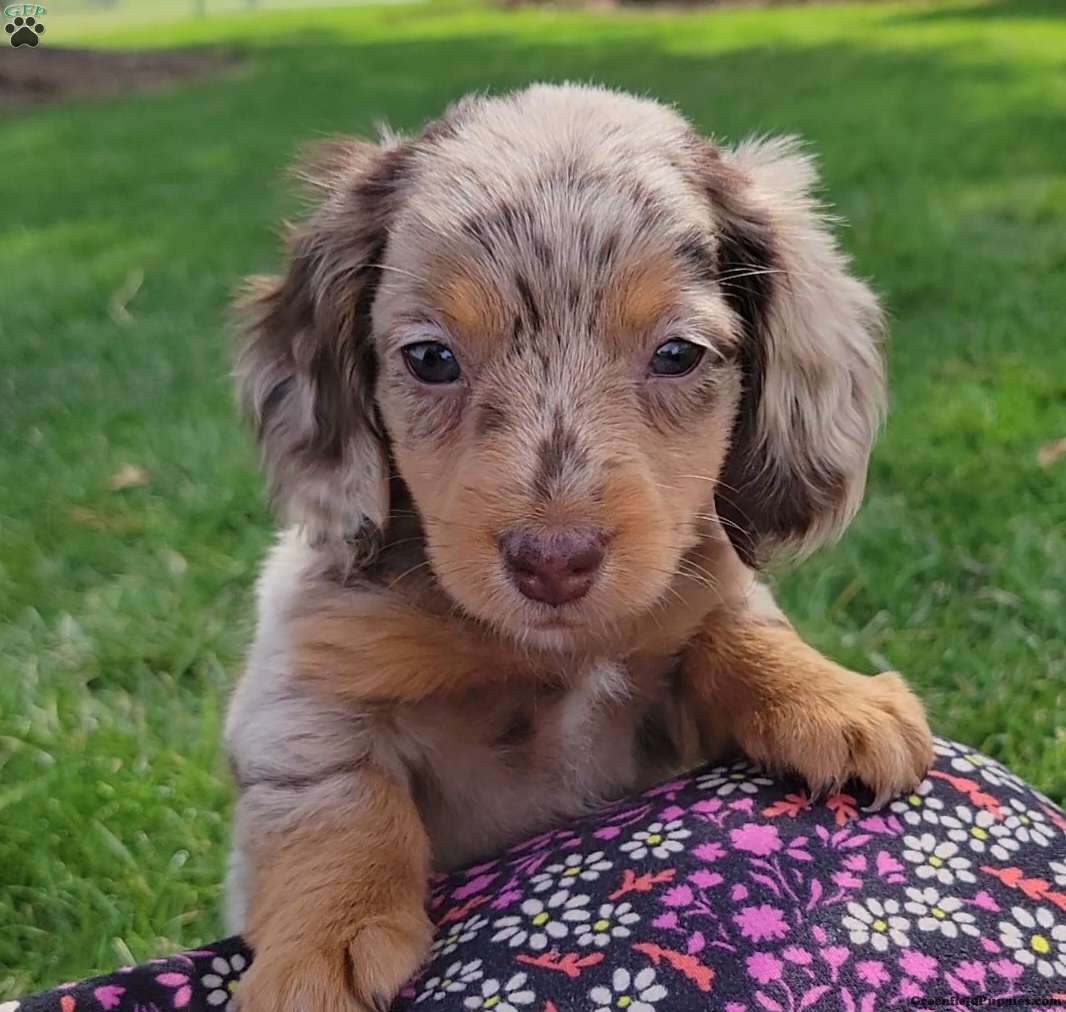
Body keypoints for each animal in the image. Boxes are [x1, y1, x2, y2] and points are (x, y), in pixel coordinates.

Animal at [223, 83, 933, 1011]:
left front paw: (831, 696)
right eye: (430, 357)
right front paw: (324, 937)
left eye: (678, 353)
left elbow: (734, 629)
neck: (556, 654)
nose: (552, 563)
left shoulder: (688, 602)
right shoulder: (307, 674)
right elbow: (334, 797)